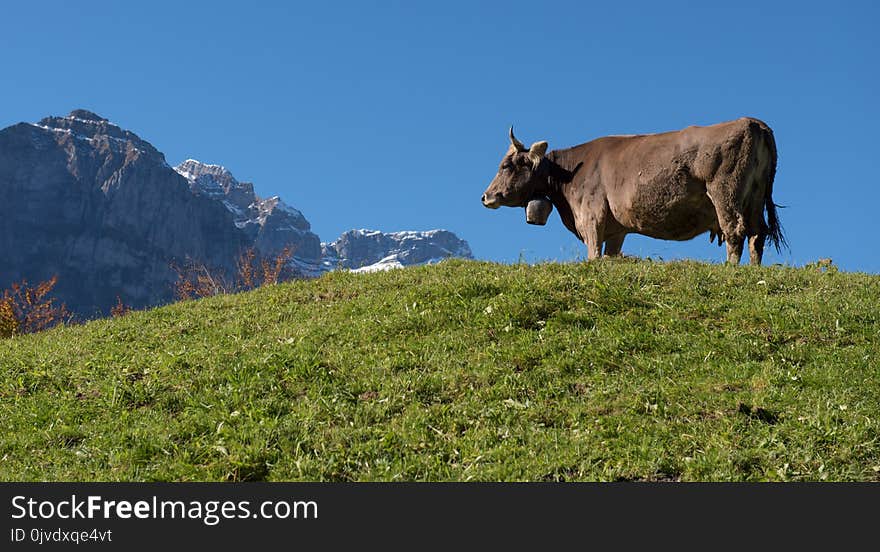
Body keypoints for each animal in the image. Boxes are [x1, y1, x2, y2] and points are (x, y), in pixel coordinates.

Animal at [484, 117, 788, 264]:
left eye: (506, 165)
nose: (485, 196)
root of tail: (752, 122)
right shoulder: (616, 230)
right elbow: (610, 255)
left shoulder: (592, 217)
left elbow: (594, 255)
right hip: (754, 198)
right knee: (757, 234)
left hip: (726, 194)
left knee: (735, 230)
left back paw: (731, 268)